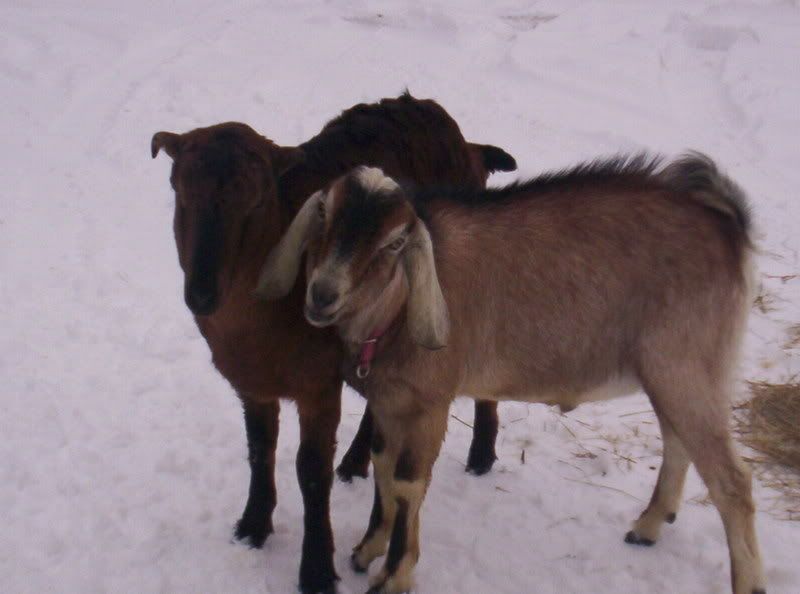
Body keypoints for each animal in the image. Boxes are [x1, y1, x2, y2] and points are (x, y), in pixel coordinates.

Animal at [151, 92, 516, 594]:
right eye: (178, 190)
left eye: (257, 200)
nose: (201, 294)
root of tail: (461, 137)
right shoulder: (254, 384)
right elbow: (259, 451)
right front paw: (253, 527)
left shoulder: (318, 385)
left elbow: (311, 473)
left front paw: (317, 569)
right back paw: (357, 461)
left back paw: (480, 455)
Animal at [259, 155, 766, 594]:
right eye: (323, 214)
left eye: (393, 243)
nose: (323, 294)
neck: (395, 310)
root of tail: (727, 225)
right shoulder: (389, 402)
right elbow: (383, 466)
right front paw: (368, 551)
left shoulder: (430, 404)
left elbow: (407, 482)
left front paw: (394, 576)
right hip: (672, 373)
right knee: (679, 441)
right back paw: (649, 525)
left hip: (686, 365)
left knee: (732, 482)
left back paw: (746, 580)